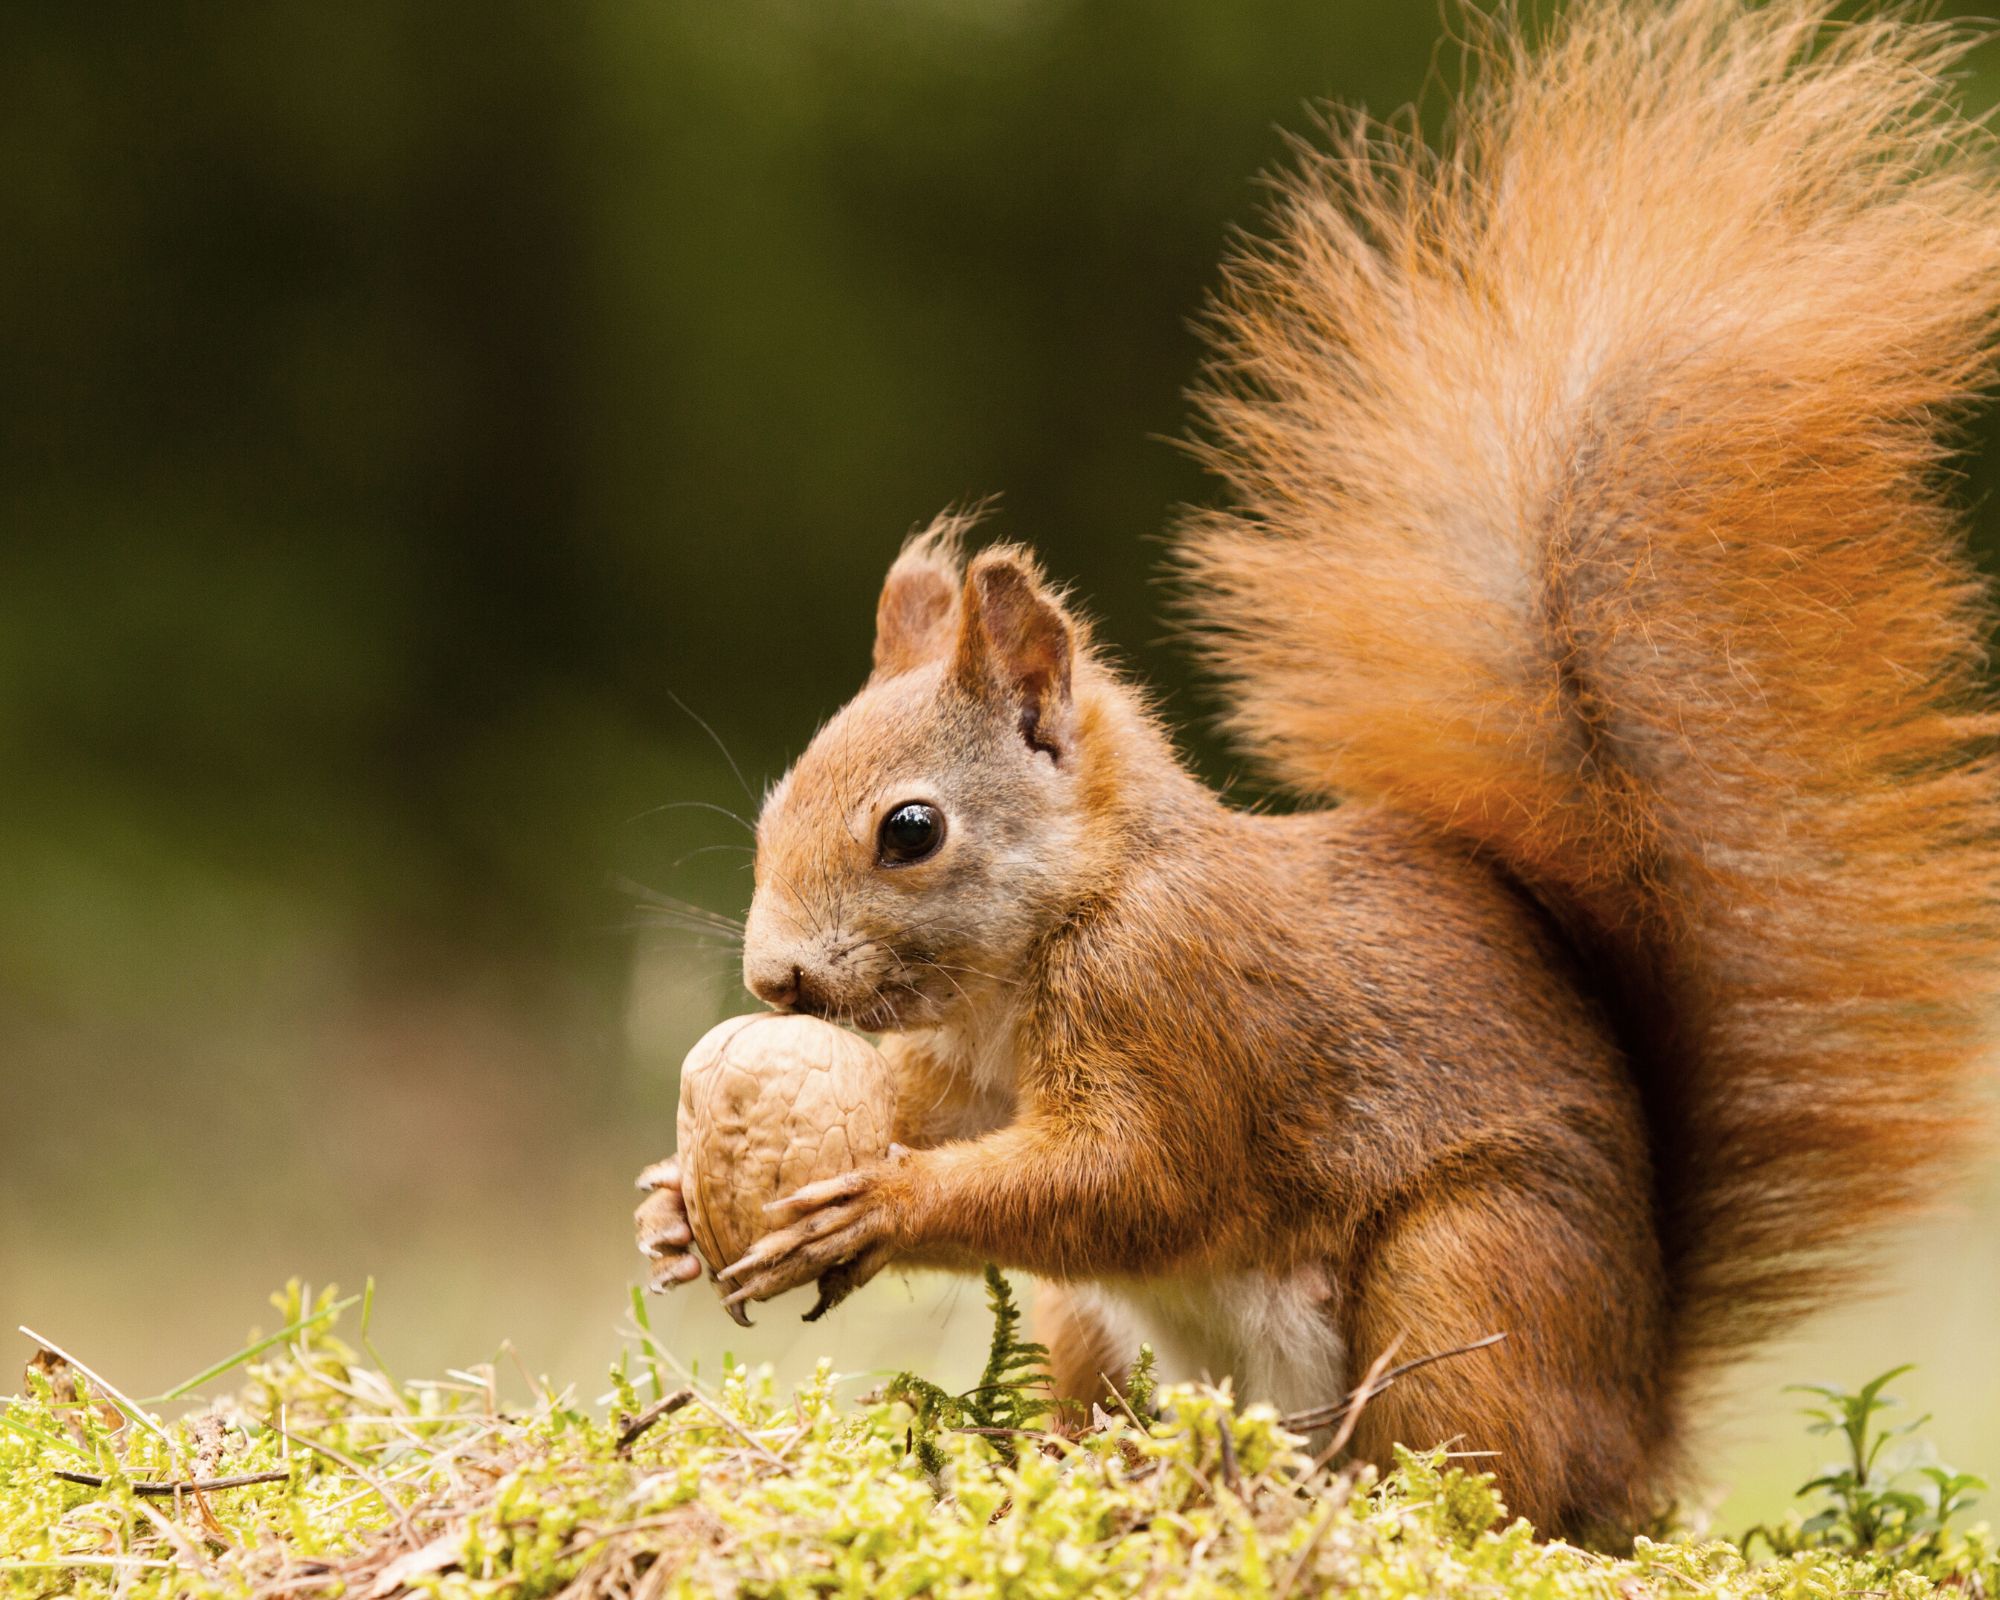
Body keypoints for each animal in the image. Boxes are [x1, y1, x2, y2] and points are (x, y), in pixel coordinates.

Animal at [632, 0, 2000, 1536]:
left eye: (910, 829)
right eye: (774, 804)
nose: (773, 981)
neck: (1062, 925)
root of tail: (1635, 1430)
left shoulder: (1183, 1005)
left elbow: (1136, 1180)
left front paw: (879, 1205)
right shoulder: (972, 1073)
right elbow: (944, 1119)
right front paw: (673, 1201)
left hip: (1469, 1270)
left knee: (1475, 1470)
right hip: (1102, 1329)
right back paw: (1111, 1472)